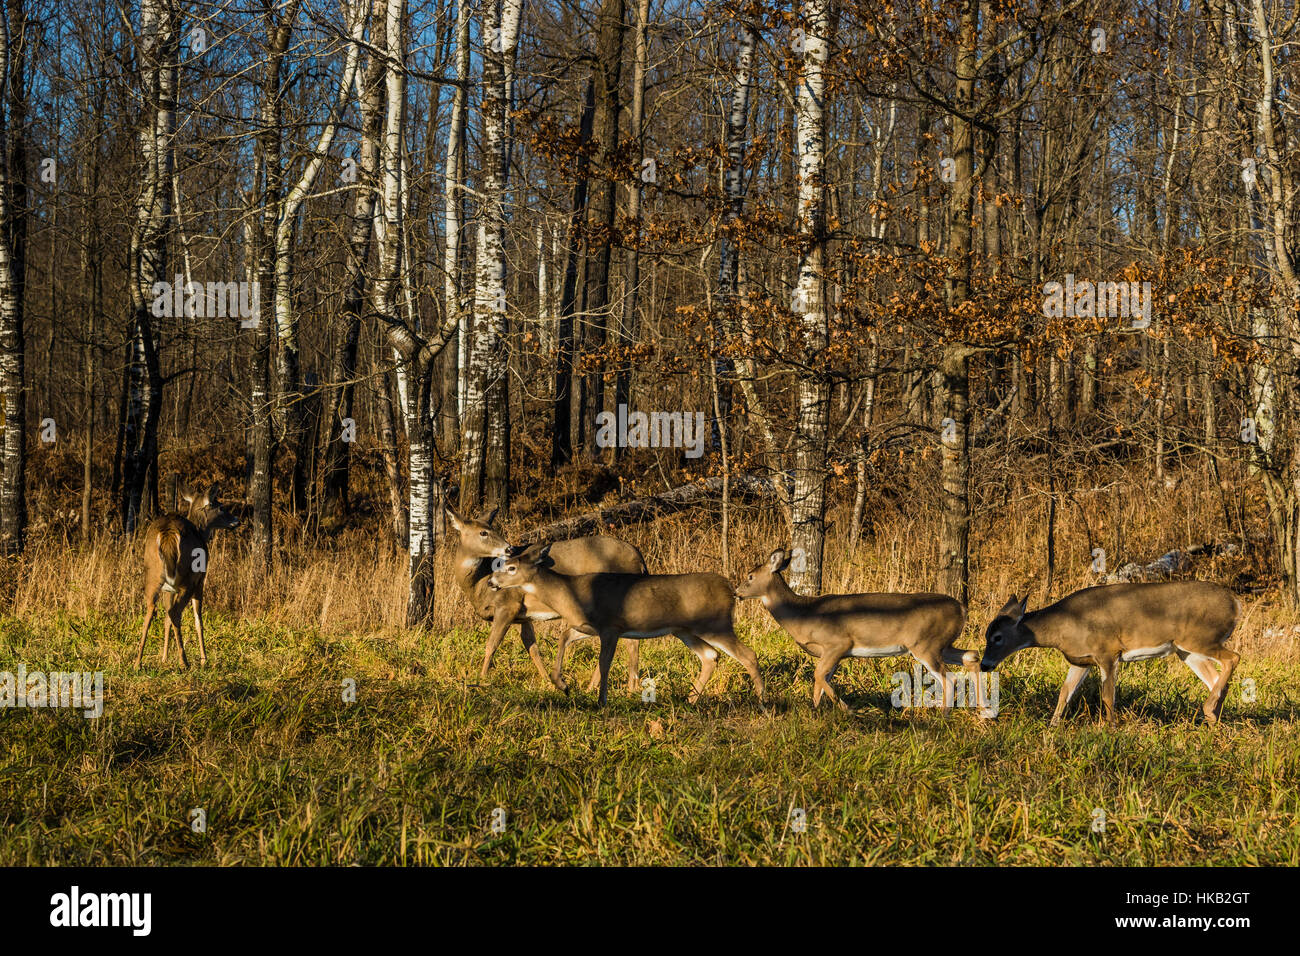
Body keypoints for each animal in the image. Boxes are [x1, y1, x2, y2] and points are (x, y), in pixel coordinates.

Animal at [135, 483, 240, 670]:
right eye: (220, 507)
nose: (237, 521)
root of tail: (168, 533)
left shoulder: (168, 589)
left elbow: (166, 620)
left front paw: (164, 658)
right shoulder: (200, 580)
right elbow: (199, 620)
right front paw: (204, 659)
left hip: (153, 575)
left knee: (152, 611)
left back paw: (137, 663)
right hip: (188, 578)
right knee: (176, 612)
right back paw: (184, 662)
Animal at [446, 506, 644, 694]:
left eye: (491, 529)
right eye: (483, 532)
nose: (509, 548)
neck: (479, 584)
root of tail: (639, 557)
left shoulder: (508, 604)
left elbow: (491, 644)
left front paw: (480, 680)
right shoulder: (524, 615)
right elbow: (532, 647)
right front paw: (547, 682)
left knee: (629, 641)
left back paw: (627, 688)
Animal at [488, 542, 766, 707]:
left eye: (511, 568)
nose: (491, 582)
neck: (571, 593)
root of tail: (730, 589)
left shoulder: (611, 626)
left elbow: (604, 663)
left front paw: (601, 701)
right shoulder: (588, 626)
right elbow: (564, 636)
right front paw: (563, 685)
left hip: (715, 623)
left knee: (748, 654)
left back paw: (762, 700)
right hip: (685, 631)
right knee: (710, 655)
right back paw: (690, 699)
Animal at [734, 548, 980, 713]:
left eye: (750, 576)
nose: (736, 592)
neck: (803, 614)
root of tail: (962, 608)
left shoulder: (837, 643)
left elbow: (818, 676)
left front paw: (848, 709)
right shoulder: (833, 653)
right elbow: (820, 682)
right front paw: (816, 710)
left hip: (926, 644)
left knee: (950, 678)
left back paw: (943, 715)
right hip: (942, 644)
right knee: (972, 656)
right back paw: (981, 709)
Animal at [979, 581, 1241, 725]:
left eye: (997, 637)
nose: (984, 665)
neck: (1063, 627)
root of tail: (1235, 602)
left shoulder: (1107, 651)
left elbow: (1107, 696)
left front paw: (1111, 728)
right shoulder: (1081, 661)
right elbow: (1064, 693)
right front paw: (1052, 726)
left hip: (1201, 638)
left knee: (1233, 658)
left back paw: (1208, 709)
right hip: (1187, 650)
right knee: (1215, 679)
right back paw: (1213, 720)